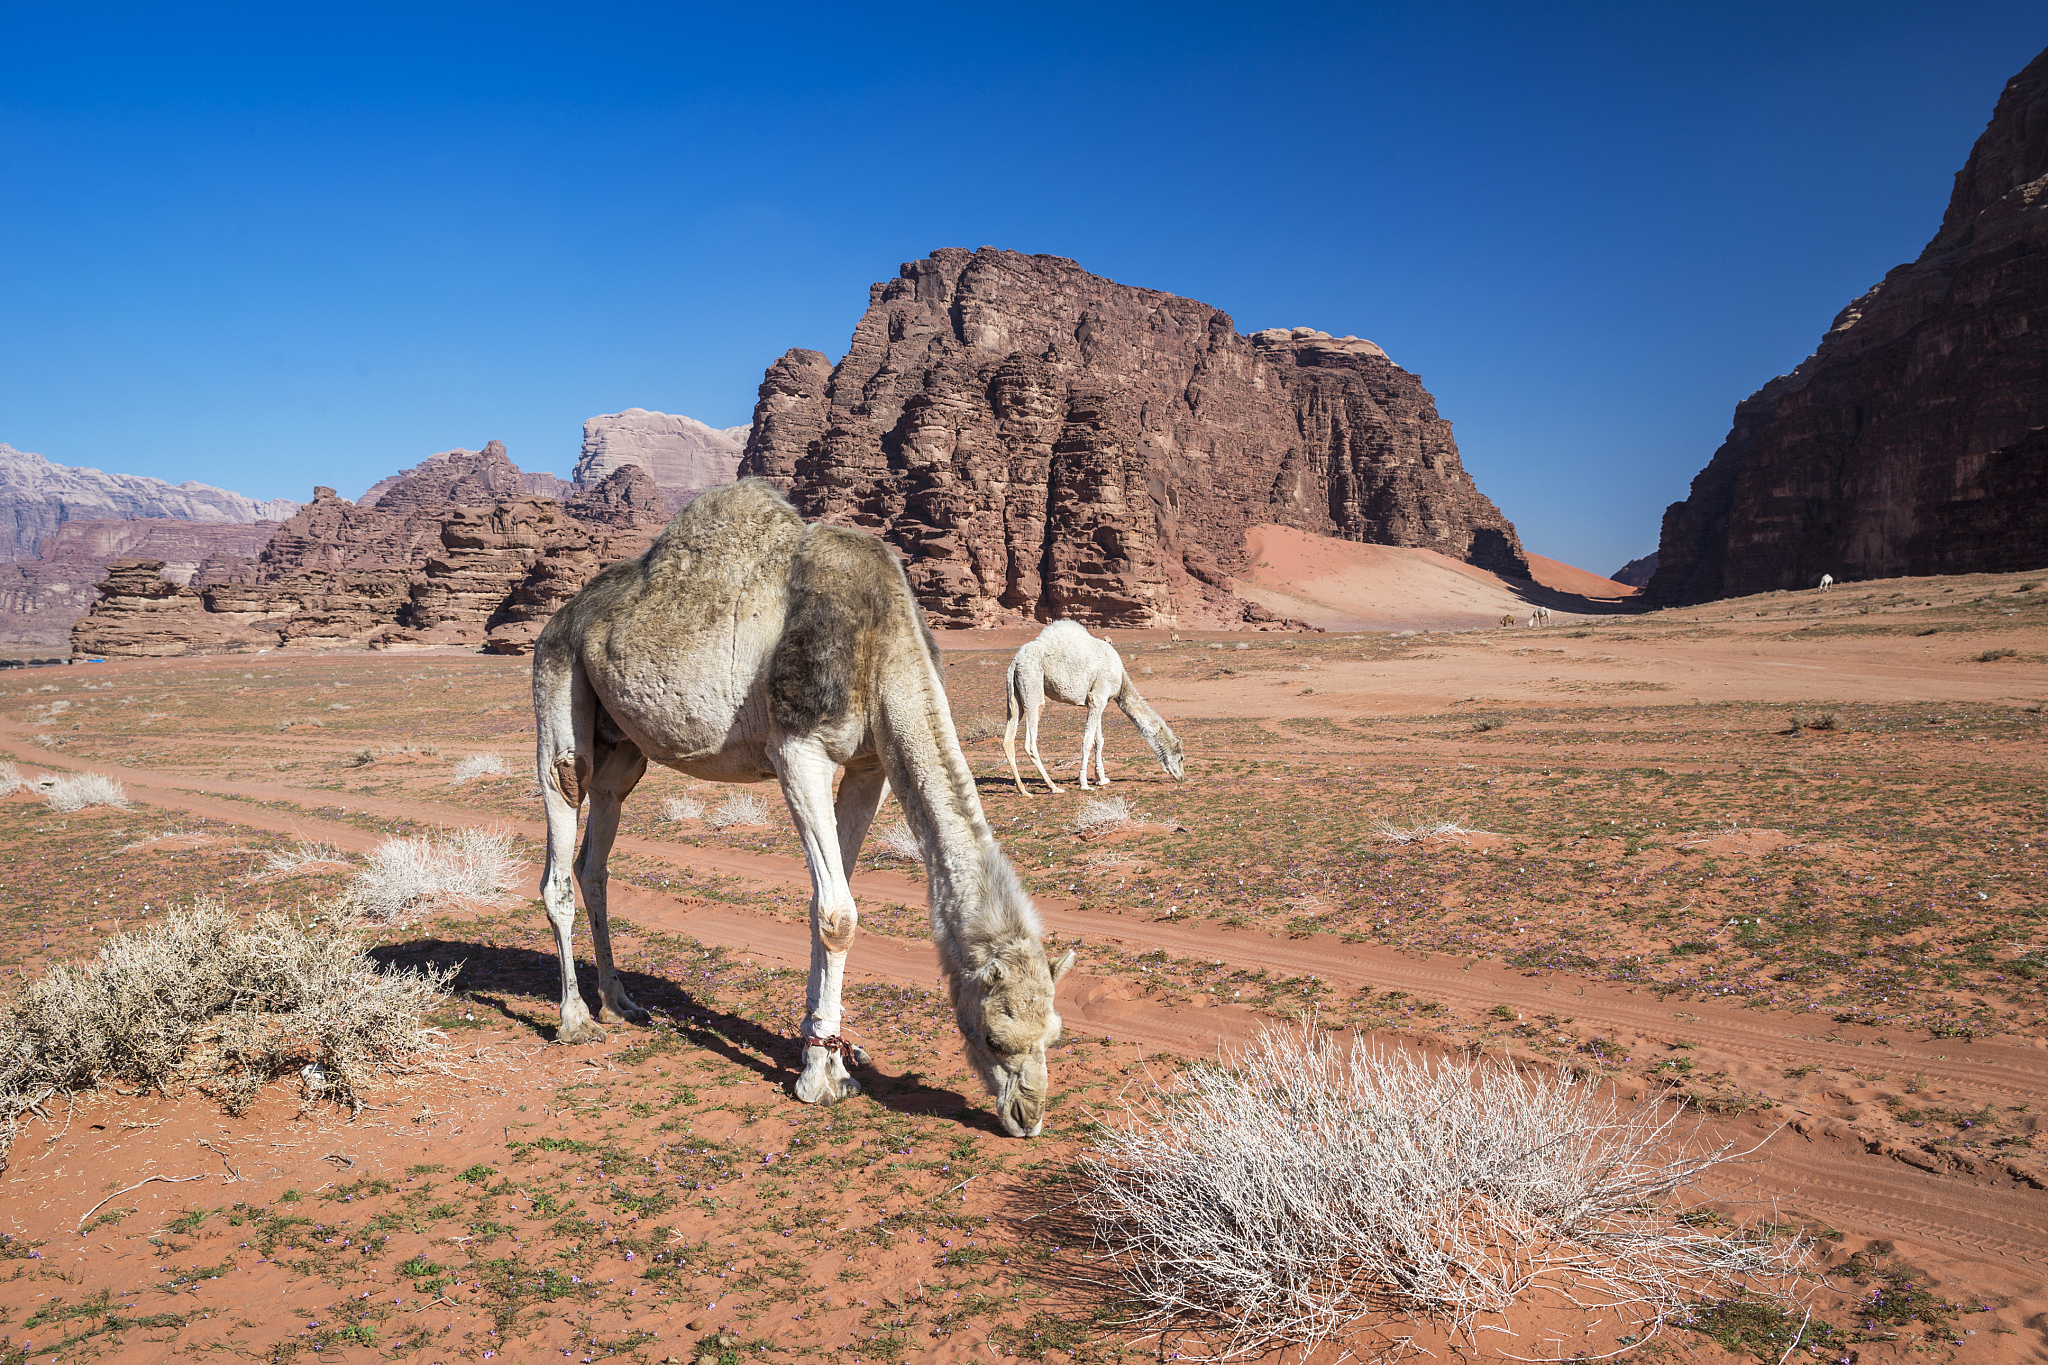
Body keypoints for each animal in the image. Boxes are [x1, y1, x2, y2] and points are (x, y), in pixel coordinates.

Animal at [530, 480, 1074, 1136]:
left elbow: (829, 906)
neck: (882, 642)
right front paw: (819, 1079)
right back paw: (574, 1019)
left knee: (597, 850)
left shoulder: (870, 764)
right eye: (994, 1037)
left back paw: (619, 1001)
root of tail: (560, 619)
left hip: (625, 747)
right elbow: (837, 913)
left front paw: (831, 1054)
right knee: (562, 824)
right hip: (557, 683)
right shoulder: (798, 749)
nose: (1028, 1116)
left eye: (1054, 1033)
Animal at [1002, 620, 1184, 796]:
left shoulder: (1097, 700)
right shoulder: (1098, 697)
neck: (1121, 683)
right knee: (1031, 742)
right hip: (1032, 684)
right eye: (1181, 757)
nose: (1181, 777)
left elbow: (1099, 740)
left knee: (1008, 739)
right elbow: (1088, 740)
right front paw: (1084, 783)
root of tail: (1015, 660)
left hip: (1016, 695)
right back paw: (1053, 787)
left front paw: (1101, 779)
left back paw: (1023, 790)